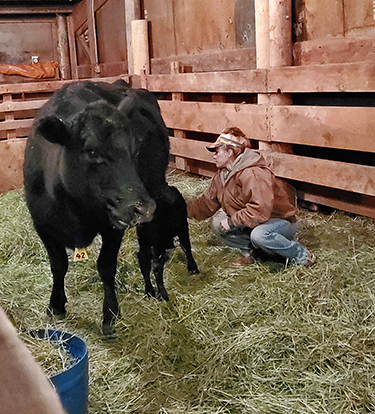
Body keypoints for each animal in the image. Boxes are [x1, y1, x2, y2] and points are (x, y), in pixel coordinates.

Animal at [23, 79, 169, 334]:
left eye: (135, 150)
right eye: (92, 152)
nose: (143, 208)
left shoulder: (113, 225)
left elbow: (106, 266)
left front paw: (110, 313)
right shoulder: (42, 224)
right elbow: (58, 265)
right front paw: (56, 305)